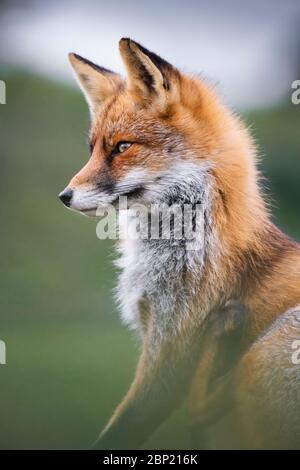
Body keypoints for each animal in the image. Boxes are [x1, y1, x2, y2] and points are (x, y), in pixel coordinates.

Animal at [58, 38, 300, 450]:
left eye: (122, 147)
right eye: (93, 149)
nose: (64, 196)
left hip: (267, 349)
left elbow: (121, 430)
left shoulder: (169, 355)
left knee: (209, 404)